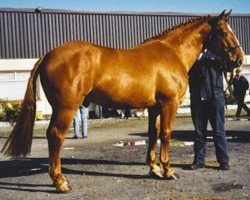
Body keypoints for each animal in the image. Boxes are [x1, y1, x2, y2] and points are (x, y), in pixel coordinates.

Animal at [1, 10, 244, 193]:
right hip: (66, 108)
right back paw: (60, 182)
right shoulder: (169, 104)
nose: (239, 59)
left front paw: (154, 169)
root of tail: (49, 54)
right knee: (56, 136)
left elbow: (153, 134)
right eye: (223, 31)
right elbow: (166, 134)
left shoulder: (154, 107)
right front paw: (168, 170)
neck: (172, 52)